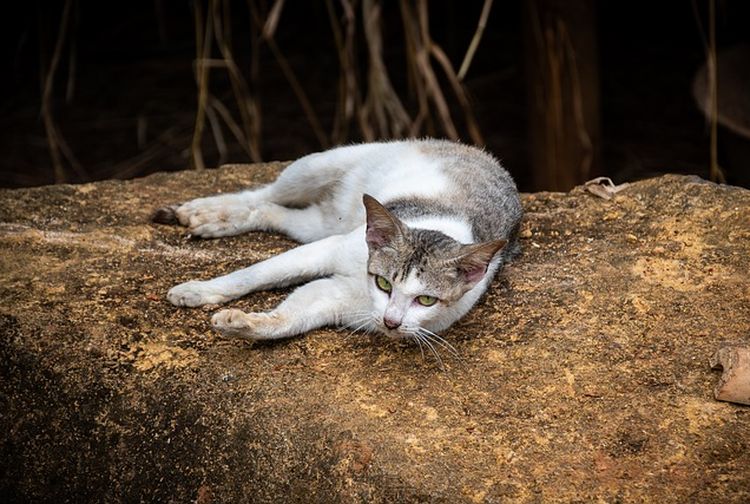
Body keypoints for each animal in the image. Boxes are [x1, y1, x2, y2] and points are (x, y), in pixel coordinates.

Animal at [154, 138, 524, 350]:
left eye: (426, 300)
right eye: (384, 283)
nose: (391, 322)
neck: (363, 286)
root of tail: (485, 155)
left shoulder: (339, 300)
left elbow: (287, 319)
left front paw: (243, 325)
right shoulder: (329, 249)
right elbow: (253, 275)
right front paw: (198, 291)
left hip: (319, 223)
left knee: (271, 211)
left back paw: (220, 219)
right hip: (314, 167)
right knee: (262, 193)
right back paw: (205, 212)